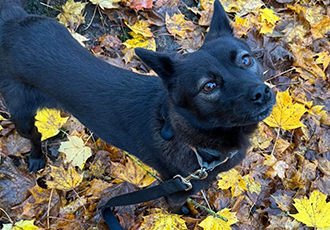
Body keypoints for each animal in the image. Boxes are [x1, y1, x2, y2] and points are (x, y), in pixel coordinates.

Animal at [0, 0, 274, 211]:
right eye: (208, 86)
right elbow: (176, 207)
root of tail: (13, 23)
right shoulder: (176, 189)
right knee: (34, 135)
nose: (262, 93)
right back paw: (36, 157)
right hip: (21, 115)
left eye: (246, 60)